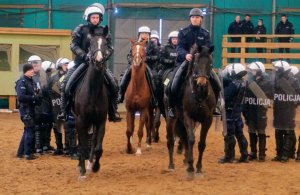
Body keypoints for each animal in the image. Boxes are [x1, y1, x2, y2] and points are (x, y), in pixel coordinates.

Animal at [164, 45, 216, 179]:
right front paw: (191, 168)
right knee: (170, 140)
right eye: (196, 62)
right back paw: (171, 165)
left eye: (210, 63)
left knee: (183, 138)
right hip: (171, 118)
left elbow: (201, 143)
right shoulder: (188, 117)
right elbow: (191, 139)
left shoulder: (207, 120)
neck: (199, 94)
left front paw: (198, 168)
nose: (201, 83)